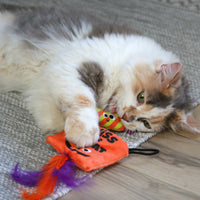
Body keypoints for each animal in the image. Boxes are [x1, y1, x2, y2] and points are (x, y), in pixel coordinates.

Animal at [0, 7, 199, 147]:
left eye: (146, 123)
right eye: (141, 97)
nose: (127, 117)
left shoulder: (48, 80)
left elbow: (50, 109)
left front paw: (57, 125)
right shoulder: (74, 63)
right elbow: (83, 100)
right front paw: (84, 133)